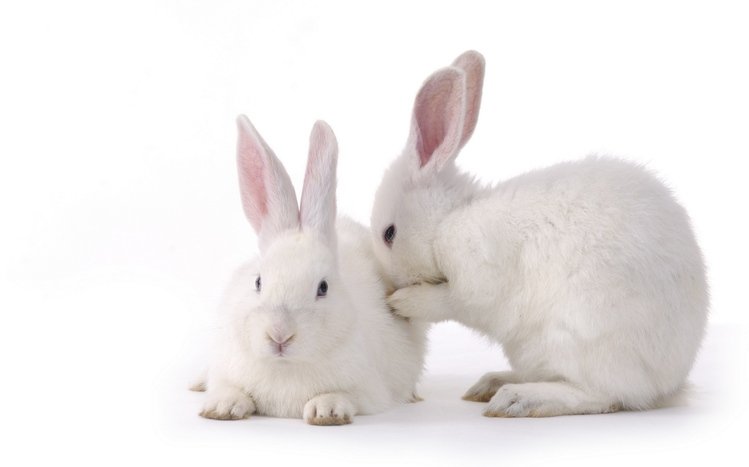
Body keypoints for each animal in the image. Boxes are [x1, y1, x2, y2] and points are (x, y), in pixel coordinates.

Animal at [199, 116, 427, 425]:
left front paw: (326, 410)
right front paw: (223, 406)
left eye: (323, 288)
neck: (286, 367)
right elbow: (228, 387)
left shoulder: (369, 392)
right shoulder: (226, 366)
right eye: (258, 282)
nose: (279, 335)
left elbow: (345, 396)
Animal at [371, 50, 709, 417]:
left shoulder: (474, 278)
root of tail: (668, 382)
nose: (390, 284)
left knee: (602, 394)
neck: (448, 220)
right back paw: (491, 383)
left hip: (574, 342)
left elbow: (448, 301)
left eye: (389, 234)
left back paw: (516, 399)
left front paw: (402, 302)